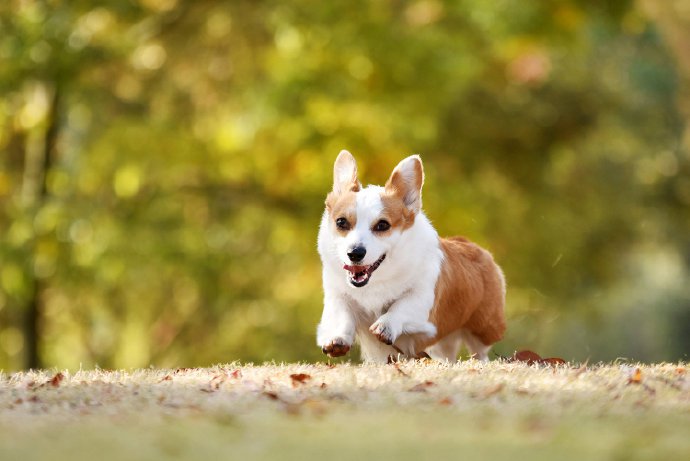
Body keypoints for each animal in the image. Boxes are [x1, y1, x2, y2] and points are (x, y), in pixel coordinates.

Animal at [314, 151, 502, 362]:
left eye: (382, 225)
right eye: (341, 222)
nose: (354, 253)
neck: (377, 281)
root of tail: (469, 243)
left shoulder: (423, 300)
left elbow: (400, 306)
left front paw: (385, 325)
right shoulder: (338, 296)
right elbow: (342, 317)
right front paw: (336, 339)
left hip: (484, 328)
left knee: (480, 351)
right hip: (444, 344)